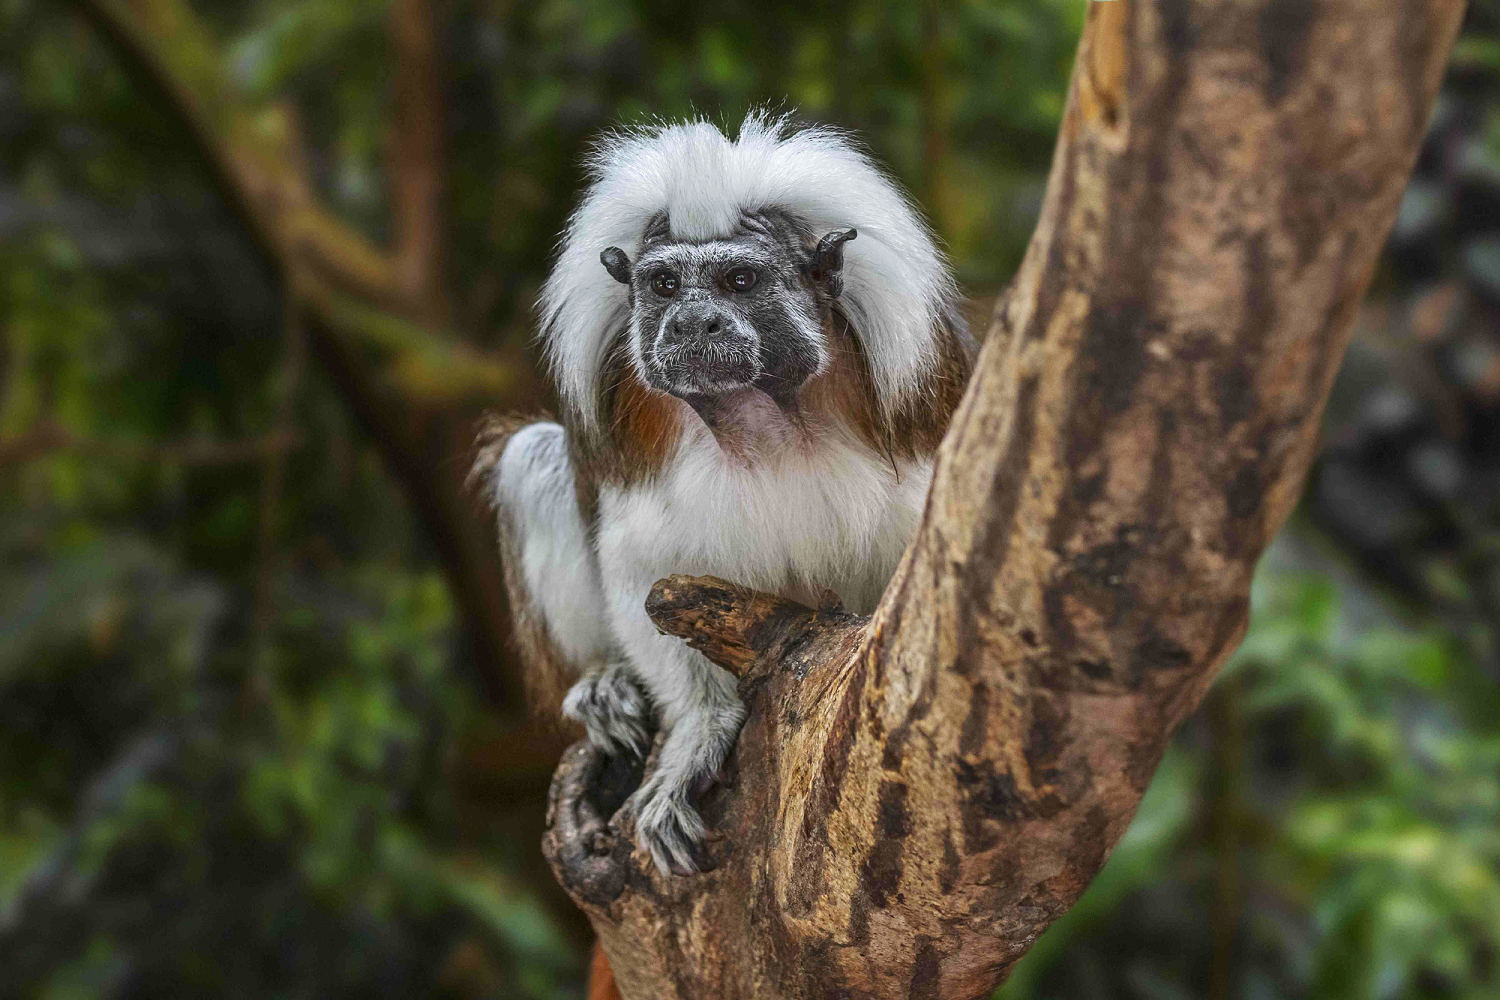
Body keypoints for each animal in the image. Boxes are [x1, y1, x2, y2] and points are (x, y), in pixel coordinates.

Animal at [474, 111, 978, 875]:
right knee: (532, 458)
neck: (762, 420)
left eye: (740, 280)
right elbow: (644, 582)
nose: (691, 324)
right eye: (664, 286)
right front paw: (696, 735)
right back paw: (605, 685)